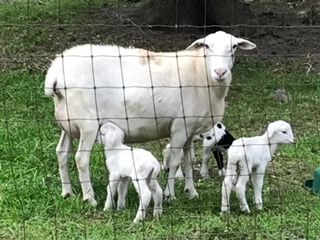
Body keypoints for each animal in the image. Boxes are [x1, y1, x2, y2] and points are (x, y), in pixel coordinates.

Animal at [45, 30, 256, 206]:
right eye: (206, 46)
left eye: (234, 47)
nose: (220, 72)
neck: (201, 73)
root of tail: (55, 72)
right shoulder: (179, 127)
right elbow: (175, 161)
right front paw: (171, 195)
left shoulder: (190, 128)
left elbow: (188, 159)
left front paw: (191, 192)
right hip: (87, 124)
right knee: (81, 158)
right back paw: (89, 198)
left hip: (68, 123)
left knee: (61, 153)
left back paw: (68, 193)